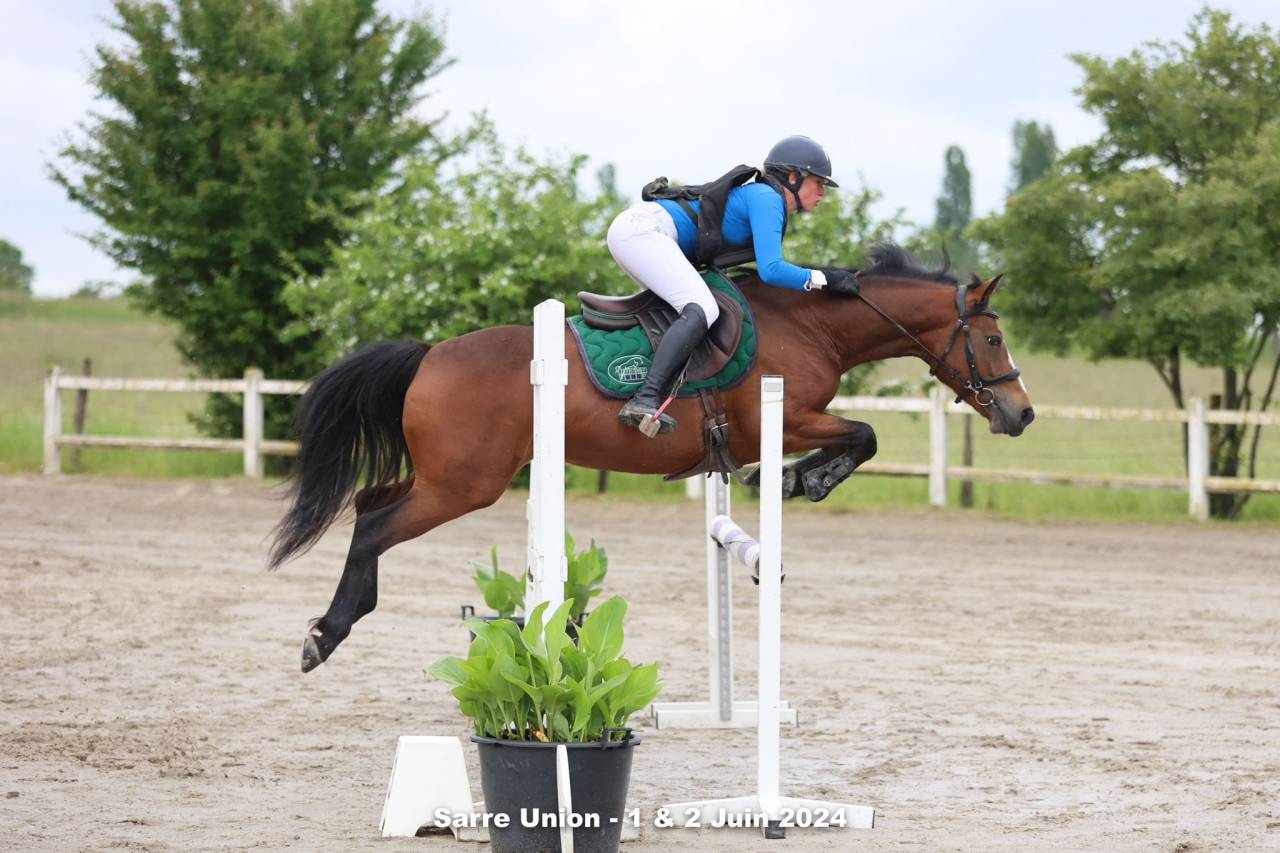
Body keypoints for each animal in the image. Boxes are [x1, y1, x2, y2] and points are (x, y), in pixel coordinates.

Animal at [270, 243, 1035, 672]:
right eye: (994, 340)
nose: (1022, 413)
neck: (810, 323)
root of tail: (429, 356)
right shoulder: (784, 418)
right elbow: (864, 434)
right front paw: (799, 479)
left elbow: (860, 436)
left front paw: (796, 478)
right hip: (465, 484)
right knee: (374, 525)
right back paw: (325, 635)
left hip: (446, 477)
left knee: (368, 503)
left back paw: (335, 622)